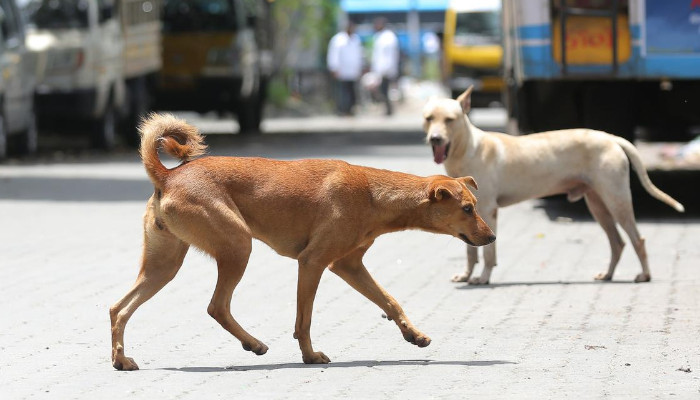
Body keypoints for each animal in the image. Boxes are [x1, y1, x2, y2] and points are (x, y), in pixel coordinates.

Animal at [110, 113, 495, 369]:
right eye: (467, 208)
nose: (492, 236)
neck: (374, 194)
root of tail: (168, 175)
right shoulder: (313, 263)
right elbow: (304, 320)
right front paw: (309, 356)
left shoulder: (349, 265)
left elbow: (390, 301)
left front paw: (412, 335)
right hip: (238, 245)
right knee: (216, 307)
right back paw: (253, 344)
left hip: (164, 265)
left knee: (119, 308)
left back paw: (121, 359)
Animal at [423, 86, 684, 285]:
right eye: (429, 119)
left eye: (450, 120)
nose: (435, 138)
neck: (468, 149)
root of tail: (610, 137)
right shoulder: (465, 215)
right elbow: (470, 250)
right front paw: (467, 275)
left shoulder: (487, 210)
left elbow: (487, 253)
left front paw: (483, 278)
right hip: (597, 203)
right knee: (617, 243)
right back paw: (608, 274)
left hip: (616, 199)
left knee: (637, 239)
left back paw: (645, 275)